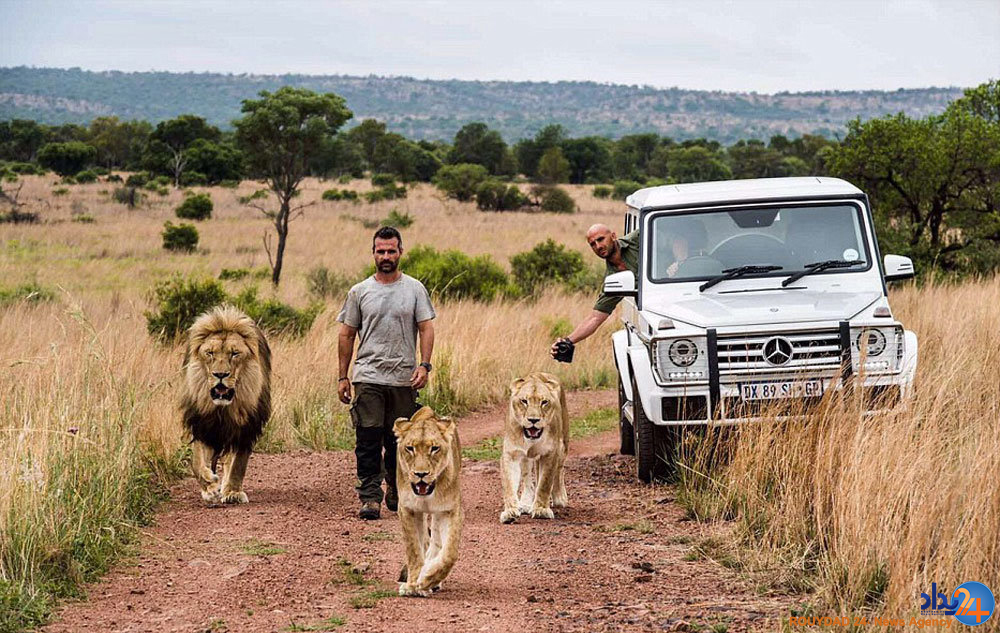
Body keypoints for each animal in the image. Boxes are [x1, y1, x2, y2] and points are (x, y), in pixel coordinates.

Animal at [181, 304, 272, 504]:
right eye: (210, 353)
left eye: (235, 353)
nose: (220, 375)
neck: (222, 409)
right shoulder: (202, 425)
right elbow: (197, 462)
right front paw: (209, 487)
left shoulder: (246, 428)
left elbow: (238, 463)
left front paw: (232, 493)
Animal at [394, 408, 464, 596]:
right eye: (410, 448)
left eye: (434, 448)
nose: (421, 474)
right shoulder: (407, 509)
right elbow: (414, 550)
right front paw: (412, 585)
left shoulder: (450, 510)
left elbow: (449, 553)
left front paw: (427, 580)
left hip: (439, 514)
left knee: (435, 542)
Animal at [500, 370, 572, 524]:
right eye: (524, 401)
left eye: (544, 402)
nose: (533, 420)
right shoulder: (511, 454)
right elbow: (509, 484)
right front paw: (510, 512)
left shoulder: (550, 453)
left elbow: (545, 482)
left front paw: (541, 510)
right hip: (526, 458)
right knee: (528, 478)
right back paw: (526, 503)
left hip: (563, 446)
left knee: (559, 471)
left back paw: (559, 498)